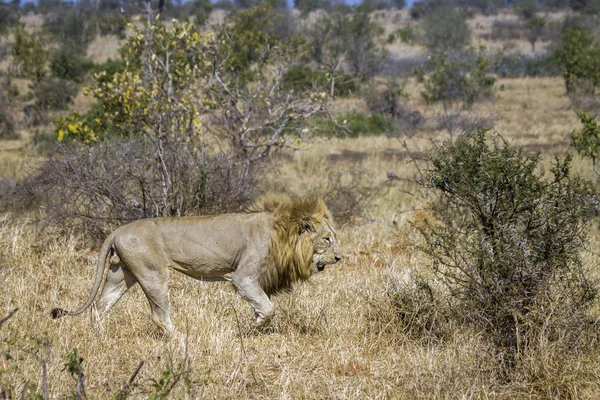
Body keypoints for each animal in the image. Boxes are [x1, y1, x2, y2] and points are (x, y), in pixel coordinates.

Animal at [51, 194, 342, 334]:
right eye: (327, 239)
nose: (340, 258)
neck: (284, 235)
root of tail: (117, 230)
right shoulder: (243, 277)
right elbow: (268, 307)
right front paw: (250, 329)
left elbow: (263, 305)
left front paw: (255, 324)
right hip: (152, 274)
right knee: (158, 314)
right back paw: (180, 340)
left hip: (121, 273)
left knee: (100, 307)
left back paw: (98, 336)